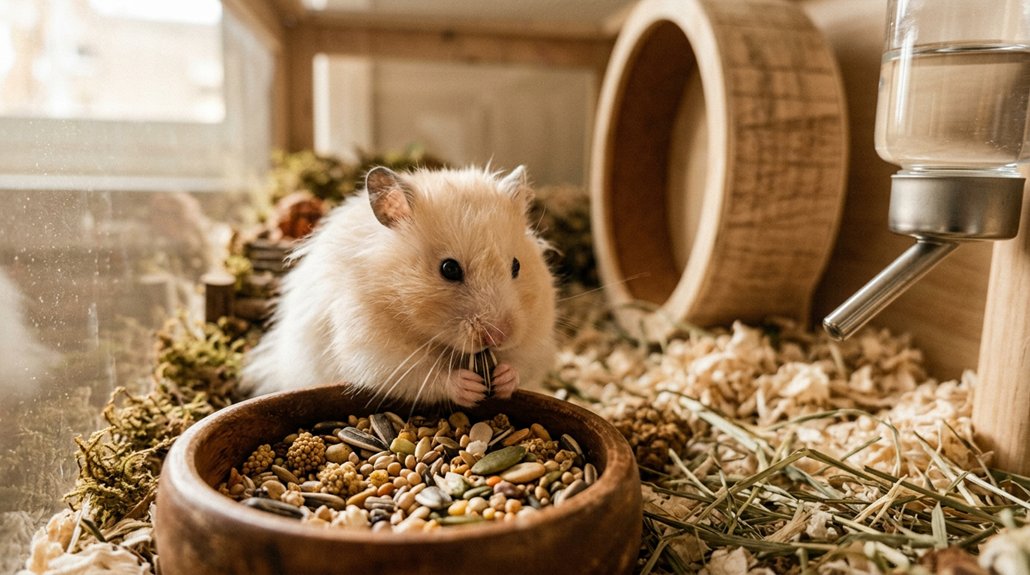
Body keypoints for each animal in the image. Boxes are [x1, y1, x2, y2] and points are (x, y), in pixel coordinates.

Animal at [242, 165, 557, 408]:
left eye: (516, 266)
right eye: (449, 269)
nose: (499, 335)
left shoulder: (537, 336)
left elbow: (523, 363)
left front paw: (504, 377)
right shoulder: (375, 350)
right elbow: (421, 375)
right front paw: (468, 386)